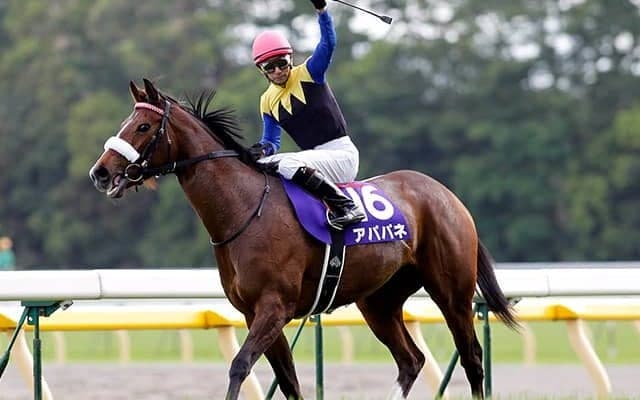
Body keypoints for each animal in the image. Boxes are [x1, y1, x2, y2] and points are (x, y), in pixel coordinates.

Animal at [89, 78, 518, 400]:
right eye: (127, 122)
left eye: (143, 127)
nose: (101, 172)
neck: (245, 209)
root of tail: (447, 195)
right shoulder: (254, 312)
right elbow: (289, 381)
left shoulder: (274, 306)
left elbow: (239, 366)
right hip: (379, 300)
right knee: (410, 360)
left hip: (451, 291)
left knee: (471, 356)